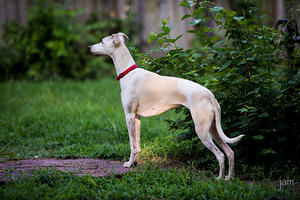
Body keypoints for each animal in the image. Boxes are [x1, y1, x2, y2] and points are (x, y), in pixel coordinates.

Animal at [88, 32, 244, 180]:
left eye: (102, 41)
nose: (89, 47)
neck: (129, 73)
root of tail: (208, 93)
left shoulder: (129, 116)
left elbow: (132, 145)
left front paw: (129, 164)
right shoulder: (137, 118)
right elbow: (137, 144)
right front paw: (135, 163)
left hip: (202, 131)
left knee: (220, 155)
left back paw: (219, 178)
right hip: (213, 129)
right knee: (230, 152)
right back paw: (229, 177)